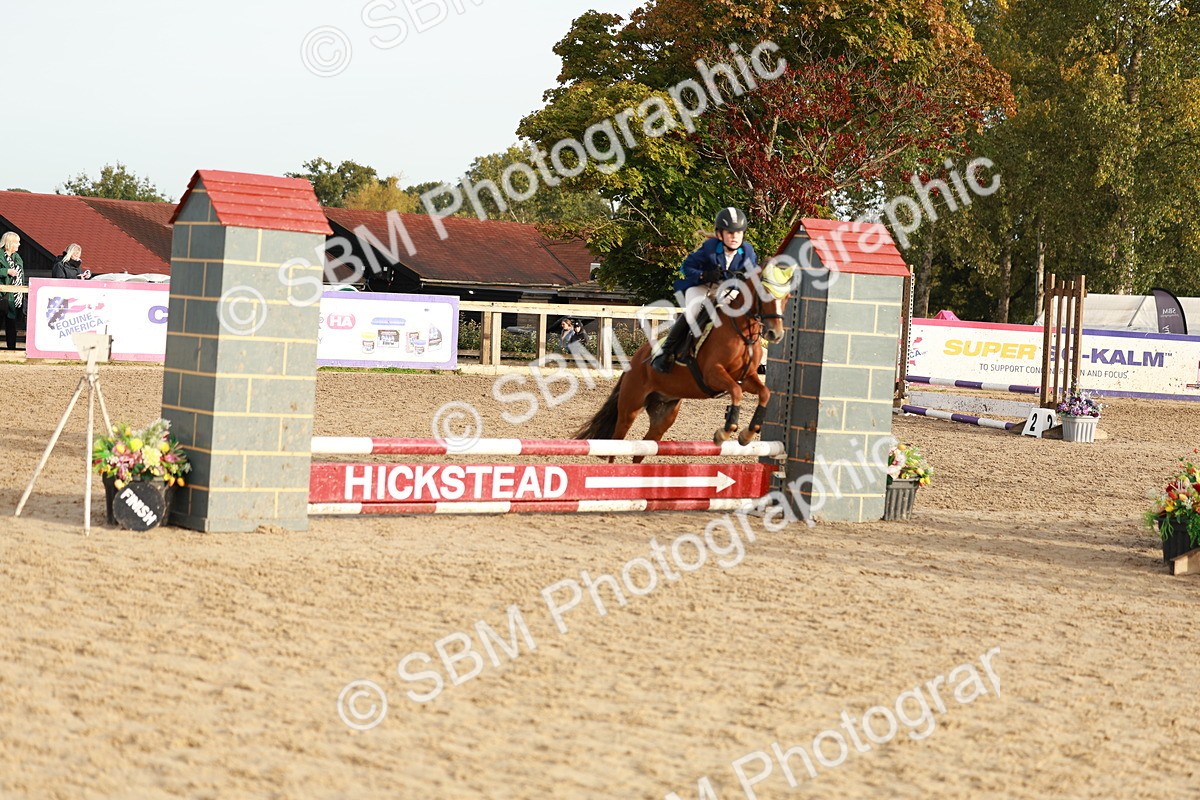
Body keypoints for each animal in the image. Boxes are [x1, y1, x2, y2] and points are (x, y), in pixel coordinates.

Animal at [574, 266, 793, 455]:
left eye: (787, 298)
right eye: (765, 294)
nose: (775, 334)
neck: (741, 332)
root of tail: (635, 359)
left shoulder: (746, 377)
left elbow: (764, 393)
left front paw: (747, 434)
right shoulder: (713, 374)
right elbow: (736, 391)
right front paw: (724, 432)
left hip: (664, 414)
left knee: (646, 444)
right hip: (630, 408)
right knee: (616, 441)